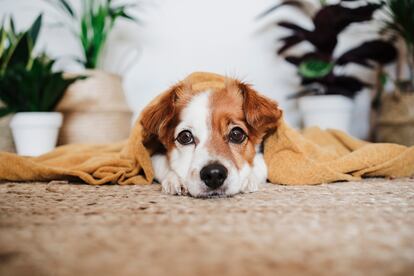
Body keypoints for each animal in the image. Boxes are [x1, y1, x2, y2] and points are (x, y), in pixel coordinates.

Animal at [140, 72, 282, 197]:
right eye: (185, 137)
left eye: (237, 134)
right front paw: (174, 179)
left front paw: (248, 178)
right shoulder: (154, 157)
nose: (214, 174)